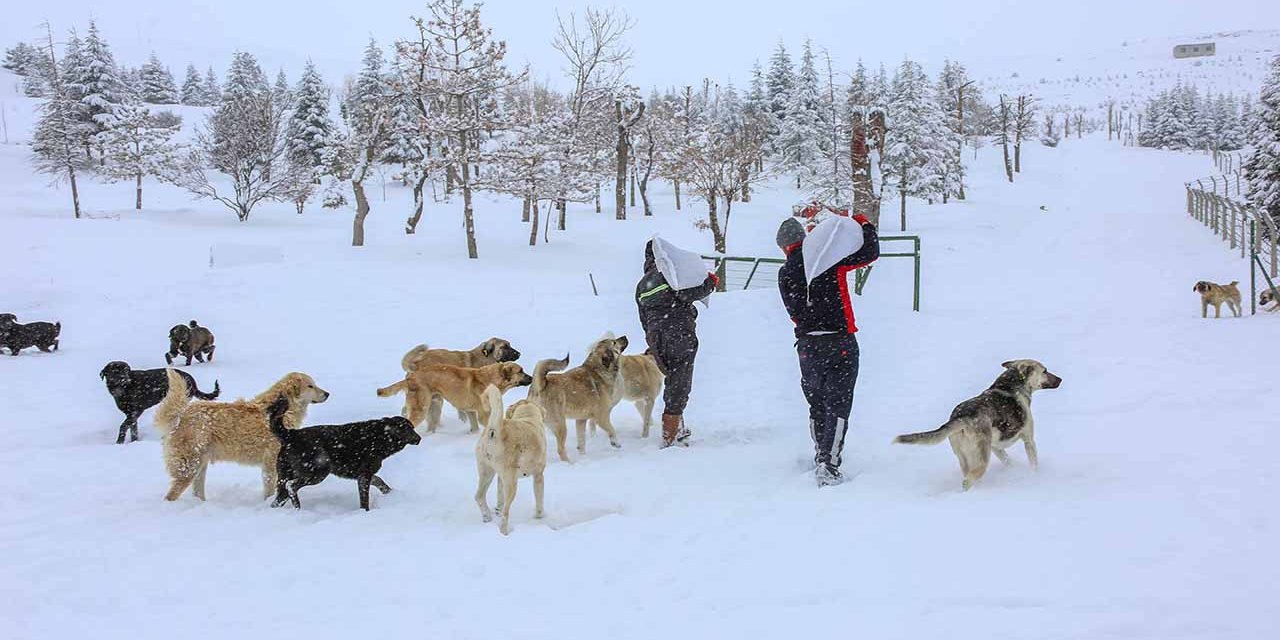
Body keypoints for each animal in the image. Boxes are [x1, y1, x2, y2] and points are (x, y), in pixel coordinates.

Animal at [153, 371, 330, 499]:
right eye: (311, 386)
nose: (327, 393)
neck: (284, 408)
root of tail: (180, 416)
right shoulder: (270, 462)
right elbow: (270, 490)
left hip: (199, 466)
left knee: (197, 493)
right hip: (189, 468)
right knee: (170, 496)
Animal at [264, 394, 424, 509]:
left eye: (412, 428)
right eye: (407, 429)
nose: (419, 438)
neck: (379, 436)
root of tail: (291, 434)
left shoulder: (364, 475)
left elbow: (380, 482)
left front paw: (390, 494)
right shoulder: (364, 476)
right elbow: (364, 500)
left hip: (284, 476)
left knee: (279, 498)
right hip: (317, 471)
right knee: (291, 486)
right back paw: (298, 507)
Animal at [373, 363, 532, 432]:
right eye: (521, 371)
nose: (531, 378)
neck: (491, 379)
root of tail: (411, 377)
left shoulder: (471, 411)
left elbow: (474, 426)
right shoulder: (483, 414)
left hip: (433, 404)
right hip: (421, 408)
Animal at [476, 381, 545, 532]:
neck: (528, 417)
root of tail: (495, 431)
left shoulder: (500, 477)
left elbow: (499, 496)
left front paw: (497, 508)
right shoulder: (538, 476)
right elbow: (539, 501)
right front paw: (539, 517)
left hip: (487, 472)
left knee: (479, 496)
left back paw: (487, 516)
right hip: (512, 483)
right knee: (505, 513)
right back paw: (504, 531)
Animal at [890, 360, 1059, 488]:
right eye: (1045, 371)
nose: (1061, 379)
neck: (1012, 384)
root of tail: (961, 417)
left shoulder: (996, 447)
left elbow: (1008, 461)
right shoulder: (1029, 440)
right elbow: (1034, 464)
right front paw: (1034, 476)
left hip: (965, 457)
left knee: (967, 475)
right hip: (982, 458)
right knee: (968, 480)